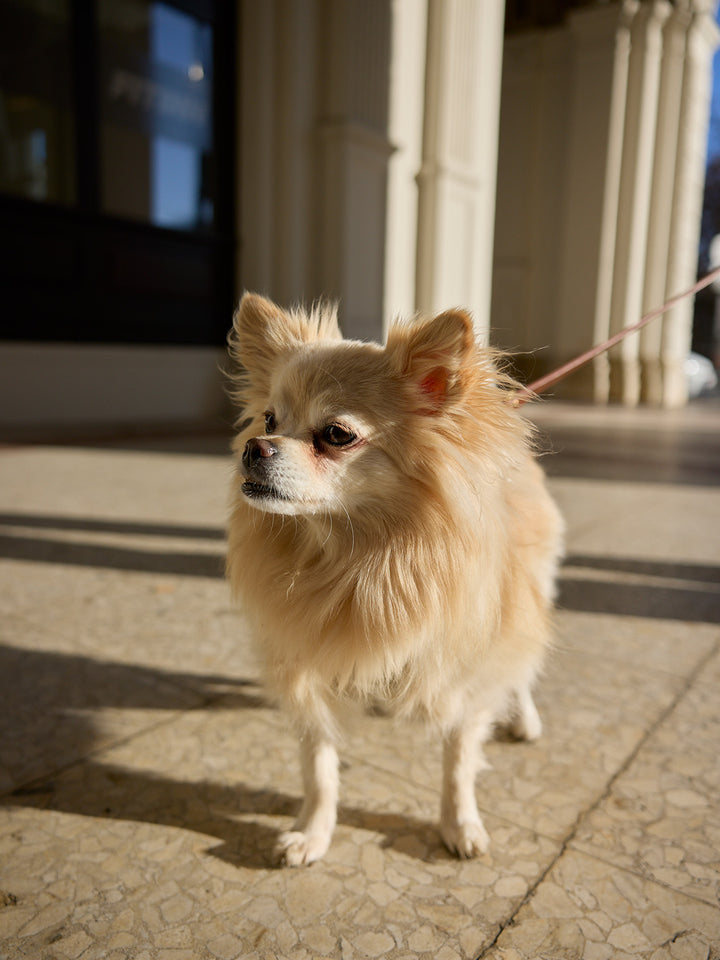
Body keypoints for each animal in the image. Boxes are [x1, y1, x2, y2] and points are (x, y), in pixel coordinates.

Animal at [228, 290, 564, 864]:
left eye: (336, 435)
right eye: (269, 420)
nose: (256, 447)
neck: (358, 557)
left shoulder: (467, 662)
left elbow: (459, 758)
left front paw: (459, 822)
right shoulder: (305, 664)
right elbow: (318, 763)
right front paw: (313, 830)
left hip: (530, 592)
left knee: (520, 664)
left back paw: (523, 716)